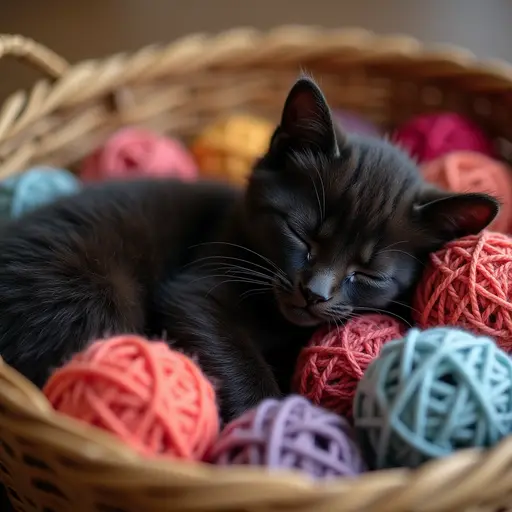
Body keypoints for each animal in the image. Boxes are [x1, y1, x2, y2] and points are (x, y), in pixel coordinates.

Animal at [0, 75, 500, 420]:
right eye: (300, 233)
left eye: (370, 274)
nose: (314, 293)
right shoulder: (194, 292)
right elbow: (236, 360)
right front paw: (267, 417)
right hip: (90, 301)